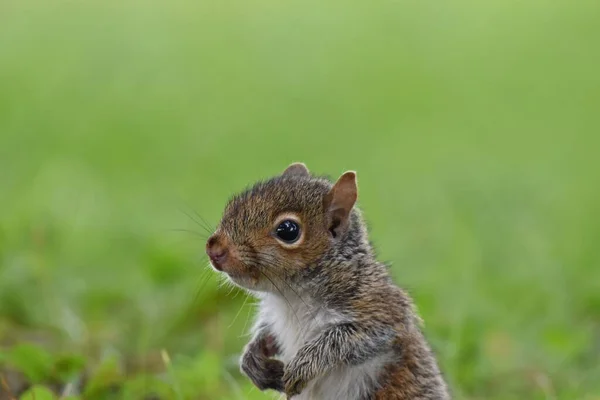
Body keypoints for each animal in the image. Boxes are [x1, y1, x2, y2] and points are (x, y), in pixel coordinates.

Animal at [206, 163, 450, 400]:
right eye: (232, 205)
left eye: (288, 230)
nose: (214, 249)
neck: (292, 296)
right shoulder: (275, 317)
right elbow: (267, 333)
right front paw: (252, 359)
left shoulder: (377, 308)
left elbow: (348, 338)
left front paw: (303, 365)